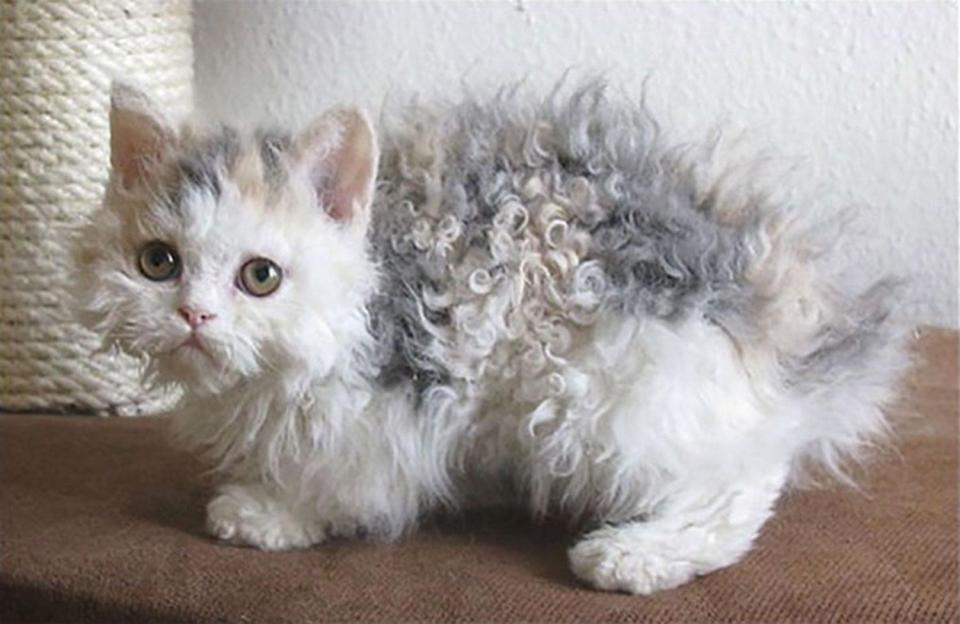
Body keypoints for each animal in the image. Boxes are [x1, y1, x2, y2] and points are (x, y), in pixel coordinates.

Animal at [75, 83, 908, 596]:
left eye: (260, 277)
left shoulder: (391, 406)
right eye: (158, 263)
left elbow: (348, 485)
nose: (194, 316)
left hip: (606, 388)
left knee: (740, 484)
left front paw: (270, 514)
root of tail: (779, 308)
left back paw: (635, 555)